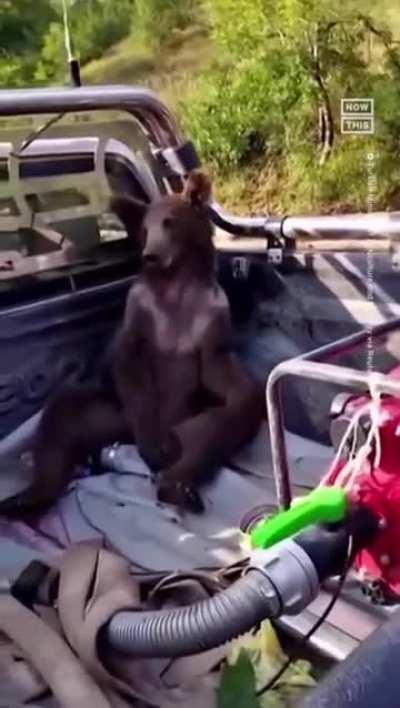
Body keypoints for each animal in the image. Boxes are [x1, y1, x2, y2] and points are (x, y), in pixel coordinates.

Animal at [0, 170, 265, 518]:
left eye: (169, 222)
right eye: (144, 228)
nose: (150, 255)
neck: (177, 285)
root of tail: (123, 438)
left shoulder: (209, 314)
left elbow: (220, 369)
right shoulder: (141, 312)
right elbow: (130, 362)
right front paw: (155, 446)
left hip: (193, 415)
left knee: (221, 422)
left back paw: (178, 482)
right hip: (111, 413)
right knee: (61, 418)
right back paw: (26, 499)